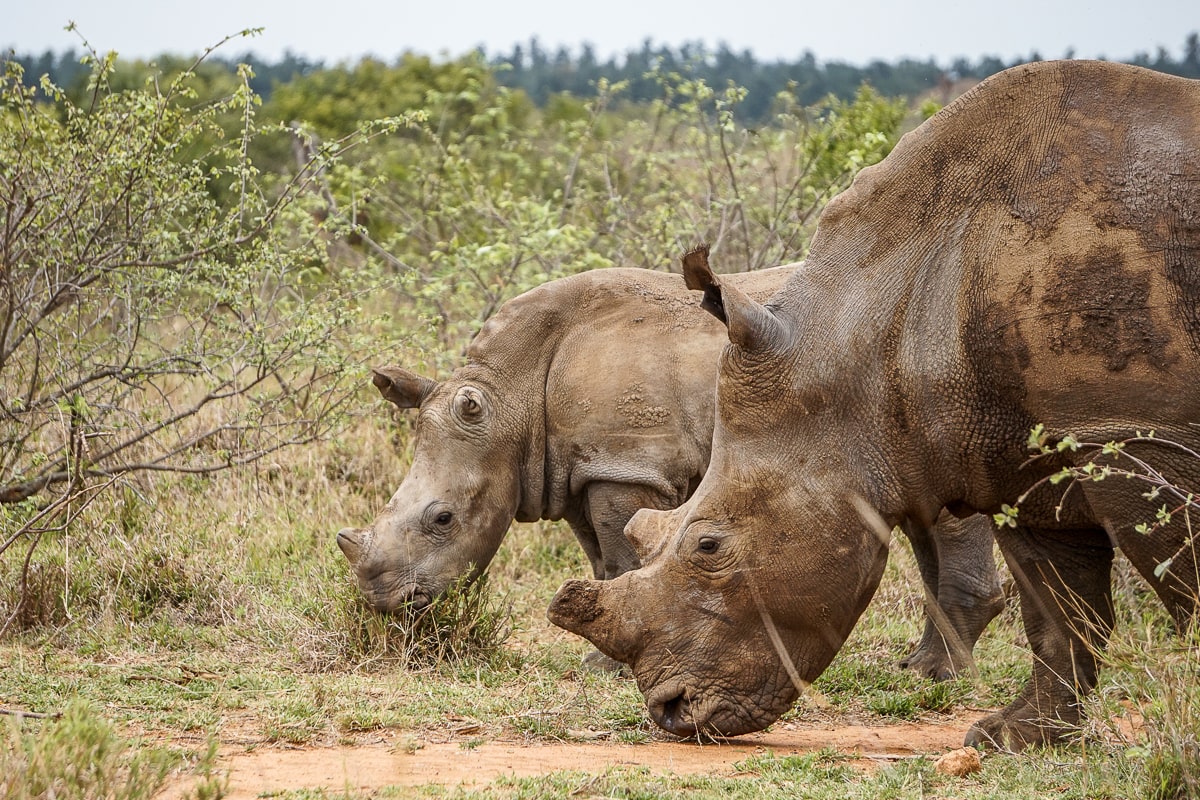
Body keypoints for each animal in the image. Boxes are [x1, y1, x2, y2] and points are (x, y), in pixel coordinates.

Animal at [336, 266, 1002, 678]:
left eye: (443, 519)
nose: (383, 604)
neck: (511, 397)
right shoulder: (581, 468)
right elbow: (603, 561)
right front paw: (601, 653)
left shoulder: (629, 465)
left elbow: (621, 554)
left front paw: (605, 666)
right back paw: (920, 665)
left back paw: (937, 676)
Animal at [548, 60, 1200, 750]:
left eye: (709, 547)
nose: (671, 712)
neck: (866, 338)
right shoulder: (1026, 454)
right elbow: (1059, 608)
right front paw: (1013, 738)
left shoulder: (1134, 436)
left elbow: (1178, 578)